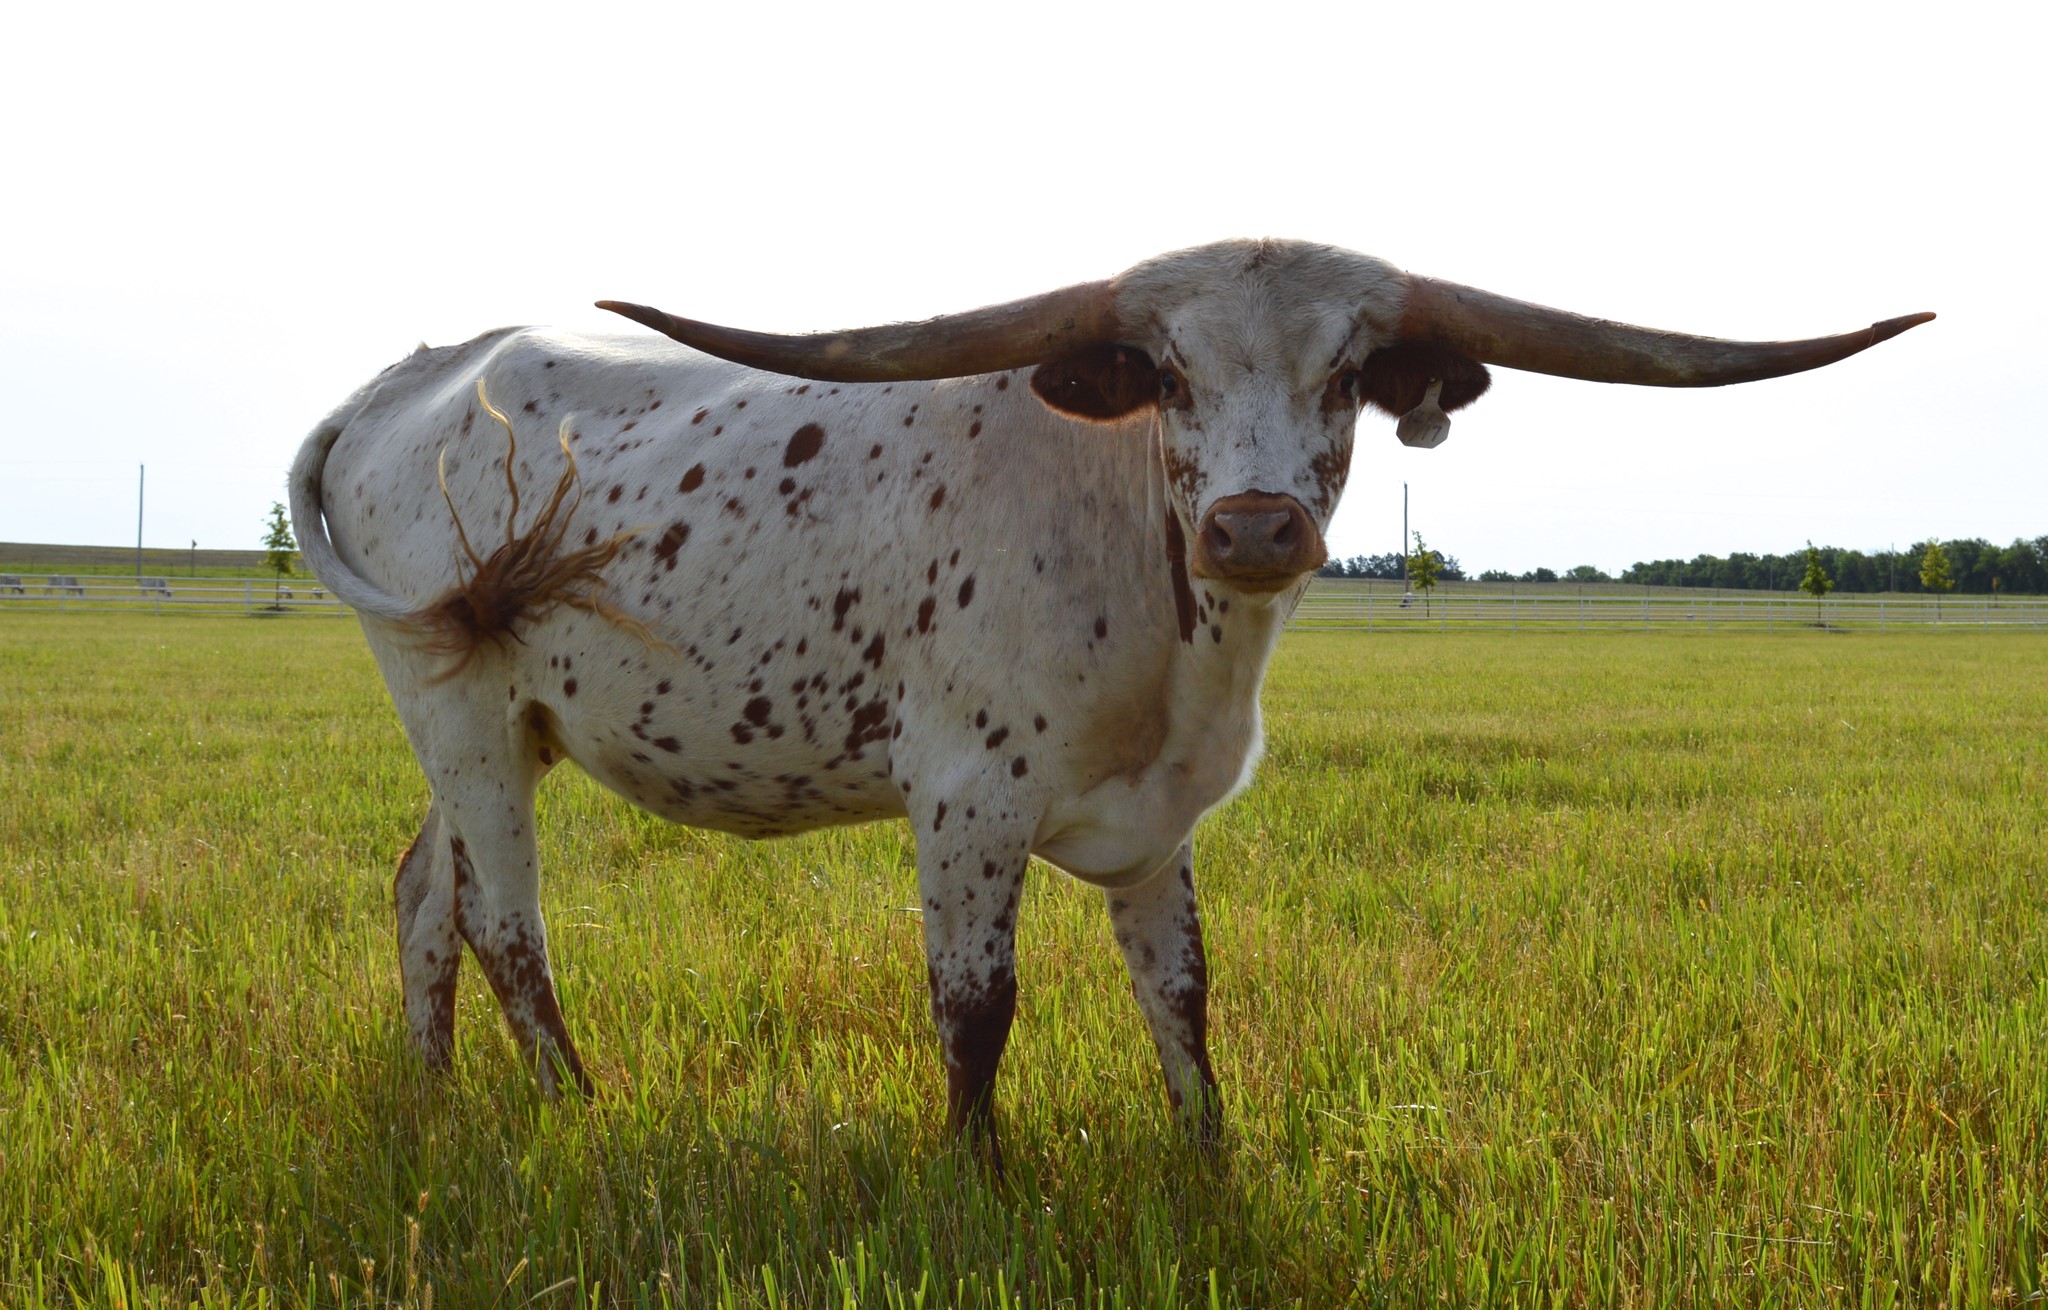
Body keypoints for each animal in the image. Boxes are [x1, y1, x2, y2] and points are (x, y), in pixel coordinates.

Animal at [290, 238, 1929, 1166]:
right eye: (1162, 370)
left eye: (1348, 375)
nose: (1257, 527)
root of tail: (413, 374)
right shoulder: (963, 804)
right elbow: (976, 1004)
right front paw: (974, 1177)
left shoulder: (1160, 827)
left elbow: (1183, 995)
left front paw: (1211, 1160)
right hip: (464, 710)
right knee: (506, 925)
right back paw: (578, 1111)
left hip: (488, 725)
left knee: (422, 894)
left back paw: (436, 1097)